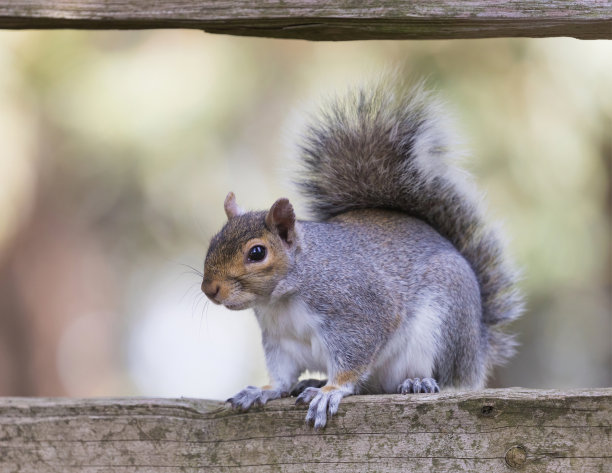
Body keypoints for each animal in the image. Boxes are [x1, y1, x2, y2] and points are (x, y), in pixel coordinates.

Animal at [203, 80, 524, 428]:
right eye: (213, 241)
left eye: (257, 252)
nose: (209, 289)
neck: (282, 298)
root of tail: (478, 347)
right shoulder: (280, 341)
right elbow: (282, 376)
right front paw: (263, 390)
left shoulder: (358, 312)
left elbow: (354, 360)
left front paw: (330, 391)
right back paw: (312, 381)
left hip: (446, 324)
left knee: (446, 378)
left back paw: (417, 381)